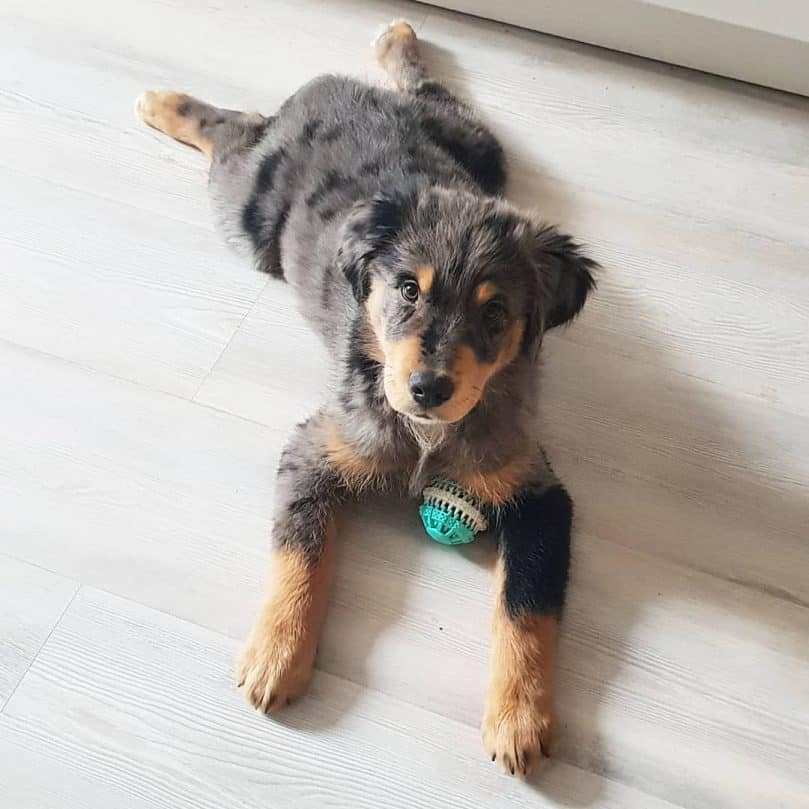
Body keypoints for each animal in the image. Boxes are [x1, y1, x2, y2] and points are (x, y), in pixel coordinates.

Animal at [137, 19, 592, 776]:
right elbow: (302, 554)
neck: (426, 435)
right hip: (246, 213)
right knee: (233, 131)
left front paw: (520, 720)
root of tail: (325, 90)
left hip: (478, 148)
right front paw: (277, 658)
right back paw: (164, 101)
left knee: (424, 93)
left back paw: (396, 38)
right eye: (407, 289)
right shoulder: (316, 447)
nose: (428, 389)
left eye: (496, 314)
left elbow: (526, 607)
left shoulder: (539, 493)